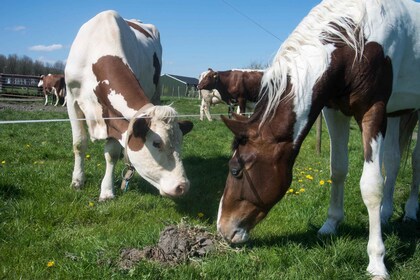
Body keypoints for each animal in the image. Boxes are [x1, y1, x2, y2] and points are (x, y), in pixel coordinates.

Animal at [65, 10, 194, 201]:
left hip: (156, 91)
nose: (182, 187)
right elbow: (79, 144)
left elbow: (111, 154)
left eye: (181, 142)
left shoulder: (114, 115)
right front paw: (77, 181)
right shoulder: (71, 98)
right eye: (156, 143)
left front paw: (107, 191)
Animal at [217, 0, 420, 278]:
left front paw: (377, 260)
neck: (356, 38)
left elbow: (371, 186)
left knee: (415, 160)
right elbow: (338, 170)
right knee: (393, 160)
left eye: (236, 170)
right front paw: (331, 224)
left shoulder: (373, 111)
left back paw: (410, 211)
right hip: (398, 113)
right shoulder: (334, 110)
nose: (223, 229)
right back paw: (386, 213)